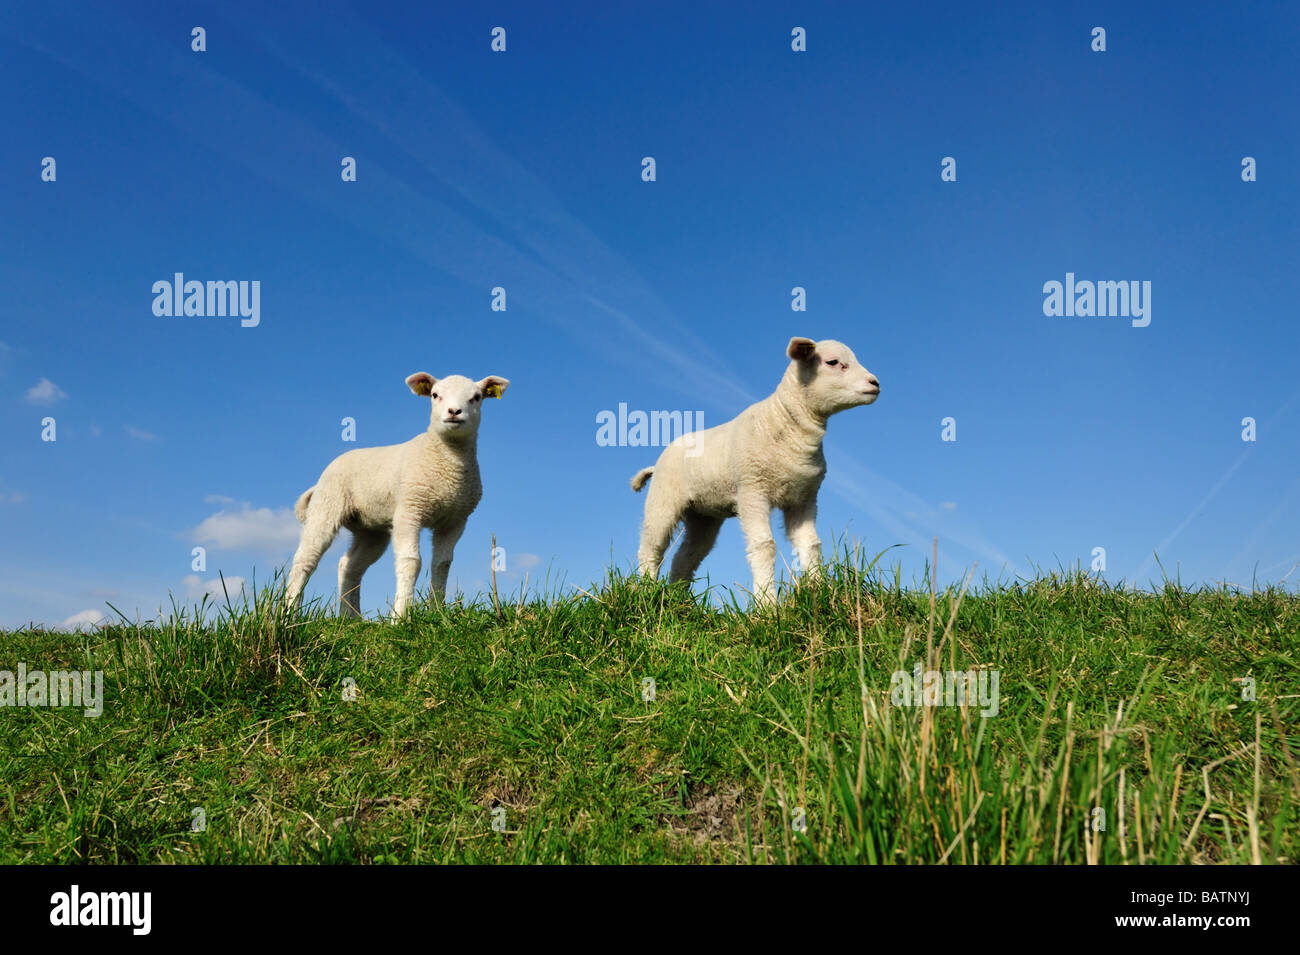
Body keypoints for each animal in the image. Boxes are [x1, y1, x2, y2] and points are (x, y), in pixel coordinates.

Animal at [286, 371, 510, 618]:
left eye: (476, 397)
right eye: (435, 395)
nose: (454, 411)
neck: (448, 466)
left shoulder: (455, 520)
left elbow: (442, 564)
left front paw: (437, 612)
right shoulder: (409, 510)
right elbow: (411, 561)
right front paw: (401, 616)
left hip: (370, 530)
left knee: (349, 566)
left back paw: (350, 617)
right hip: (327, 505)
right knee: (305, 560)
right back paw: (288, 614)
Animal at [631, 337, 879, 600]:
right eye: (833, 362)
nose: (875, 383)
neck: (785, 423)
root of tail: (655, 465)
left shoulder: (804, 498)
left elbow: (810, 544)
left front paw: (817, 591)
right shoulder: (752, 490)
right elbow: (764, 546)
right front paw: (767, 602)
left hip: (703, 515)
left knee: (686, 556)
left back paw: (679, 599)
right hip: (663, 501)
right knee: (651, 548)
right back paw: (647, 591)